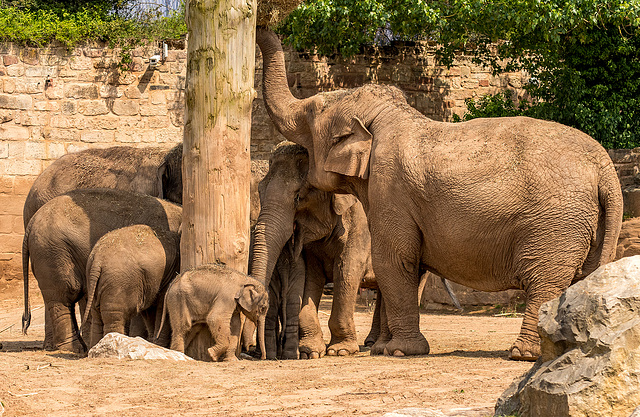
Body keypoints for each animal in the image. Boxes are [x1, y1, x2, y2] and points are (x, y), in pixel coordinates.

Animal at [249, 141, 372, 360]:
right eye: (260, 191)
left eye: (299, 197)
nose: (259, 355)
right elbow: (310, 278)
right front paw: (310, 352)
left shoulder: (361, 223)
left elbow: (347, 271)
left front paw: (340, 351)